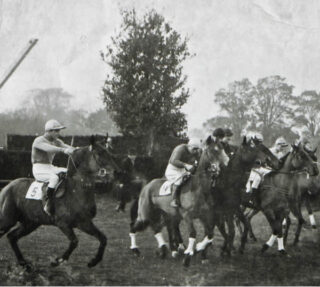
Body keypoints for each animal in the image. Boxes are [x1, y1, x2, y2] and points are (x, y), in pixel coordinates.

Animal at [0, 136, 121, 272]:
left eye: (108, 152)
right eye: (99, 153)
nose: (117, 172)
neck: (75, 191)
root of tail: (7, 187)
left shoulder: (84, 223)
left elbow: (103, 239)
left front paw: (93, 261)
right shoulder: (63, 224)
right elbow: (74, 241)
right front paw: (58, 260)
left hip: (30, 223)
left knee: (12, 237)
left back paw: (24, 264)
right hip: (7, 220)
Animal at [129, 137, 229, 268]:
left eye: (222, 149)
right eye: (212, 151)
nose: (218, 168)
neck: (199, 189)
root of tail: (147, 186)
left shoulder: (205, 216)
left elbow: (210, 234)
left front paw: (198, 248)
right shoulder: (187, 215)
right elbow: (193, 233)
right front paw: (188, 256)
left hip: (165, 214)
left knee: (158, 228)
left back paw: (164, 249)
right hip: (145, 214)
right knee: (135, 227)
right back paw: (135, 250)